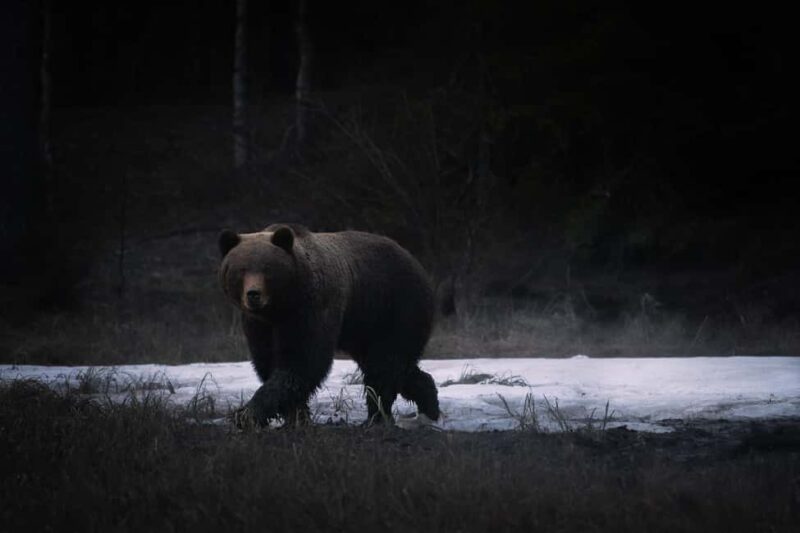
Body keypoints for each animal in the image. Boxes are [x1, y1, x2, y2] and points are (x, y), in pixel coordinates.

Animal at [218, 223, 440, 427]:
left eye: (267, 269)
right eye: (241, 270)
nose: (253, 294)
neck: (280, 307)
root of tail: (415, 261)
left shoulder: (312, 308)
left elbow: (303, 361)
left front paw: (247, 414)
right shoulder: (259, 325)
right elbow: (267, 361)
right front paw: (294, 416)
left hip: (396, 306)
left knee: (386, 362)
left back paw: (378, 417)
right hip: (364, 326)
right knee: (394, 365)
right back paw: (429, 405)